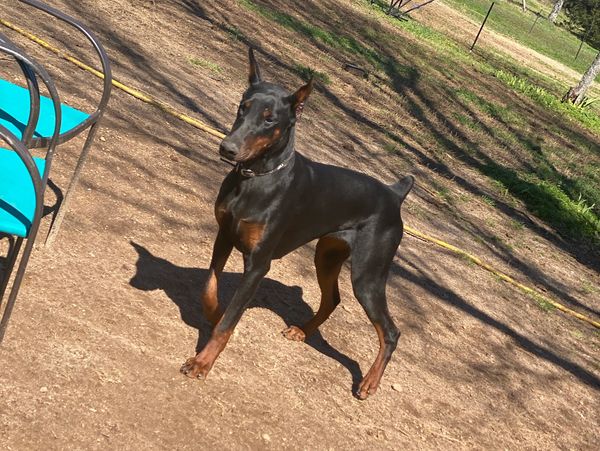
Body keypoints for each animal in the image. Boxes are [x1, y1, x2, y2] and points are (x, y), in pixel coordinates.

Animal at [180, 48, 414, 402]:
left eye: (269, 118)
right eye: (242, 106)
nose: (227, 148)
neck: (255, 179)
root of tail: (393, 193)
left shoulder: (258, 264)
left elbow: (228, 321)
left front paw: (202, 362)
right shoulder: (224, 235)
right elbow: (210, 288)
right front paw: (215, 315)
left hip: (368, 276)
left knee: (391, 331)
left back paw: (369, 383)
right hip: (326, 256)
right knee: (332, 299)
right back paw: (302, 330)